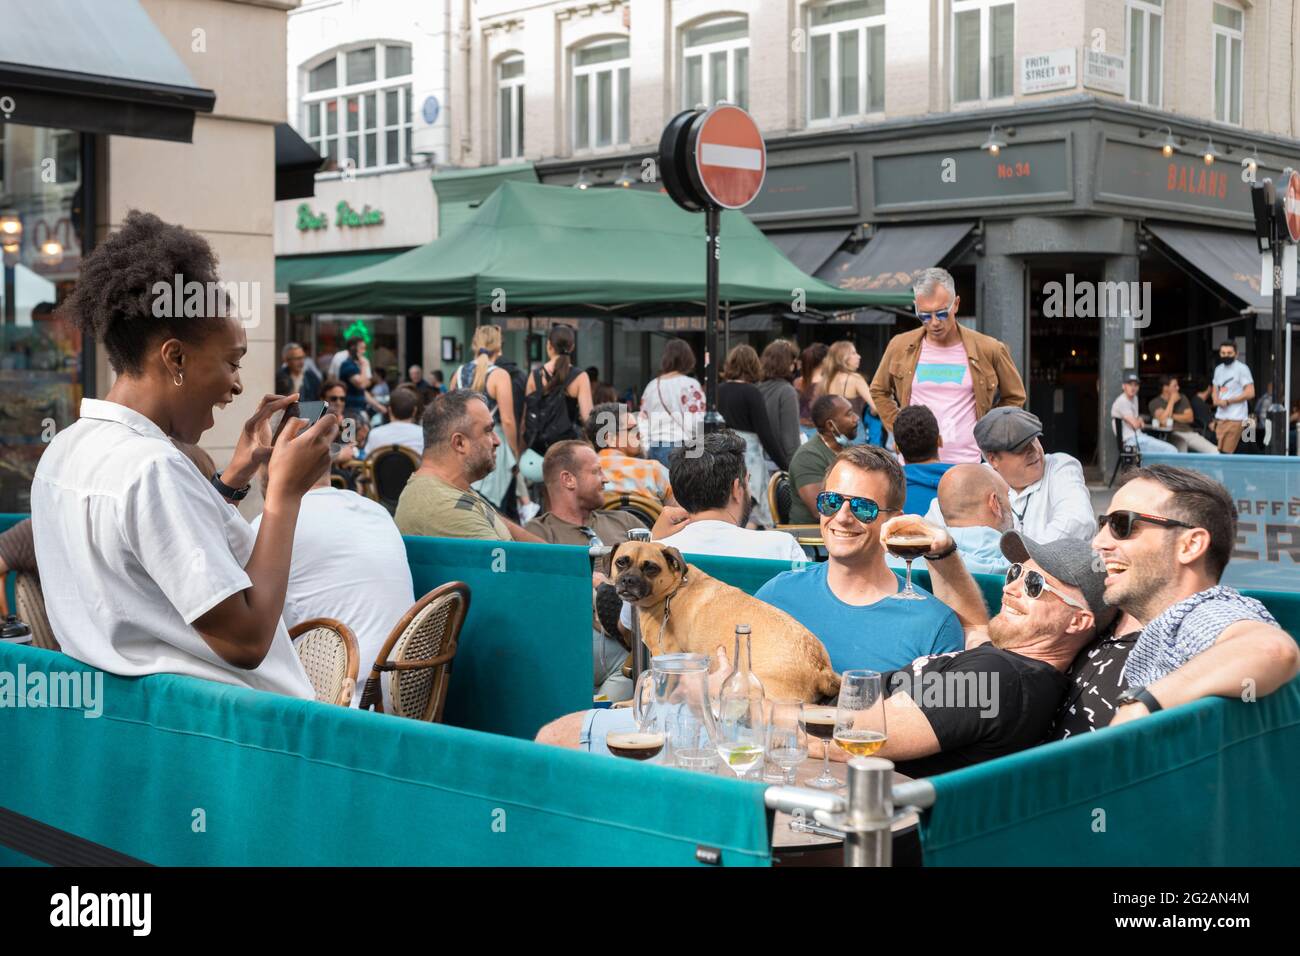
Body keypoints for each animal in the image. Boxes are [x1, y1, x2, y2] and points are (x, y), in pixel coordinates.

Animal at [611, 538, 842, 702]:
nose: (628, 580)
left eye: (651, 568)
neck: (672, 591)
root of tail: (822, 670)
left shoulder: (665, 656)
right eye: (621, 562)